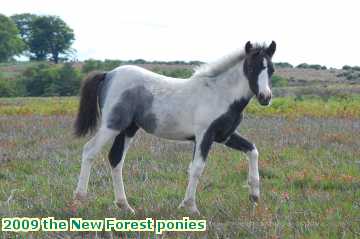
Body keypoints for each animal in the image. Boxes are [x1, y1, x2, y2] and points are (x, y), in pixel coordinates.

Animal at [72, 41, 276, 215]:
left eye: (271, 70)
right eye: (251, 68)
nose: (265, 97)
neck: (220, 94)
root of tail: (108, 74)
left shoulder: (225, 136)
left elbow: (252, 150)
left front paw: (254, 195)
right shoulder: (205, 135)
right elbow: (197, 168)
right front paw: (191, 207)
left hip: (128, 129)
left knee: (115, 158)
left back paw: (125, 206)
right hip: (112, 125)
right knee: (89, 150)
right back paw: (80, 198)